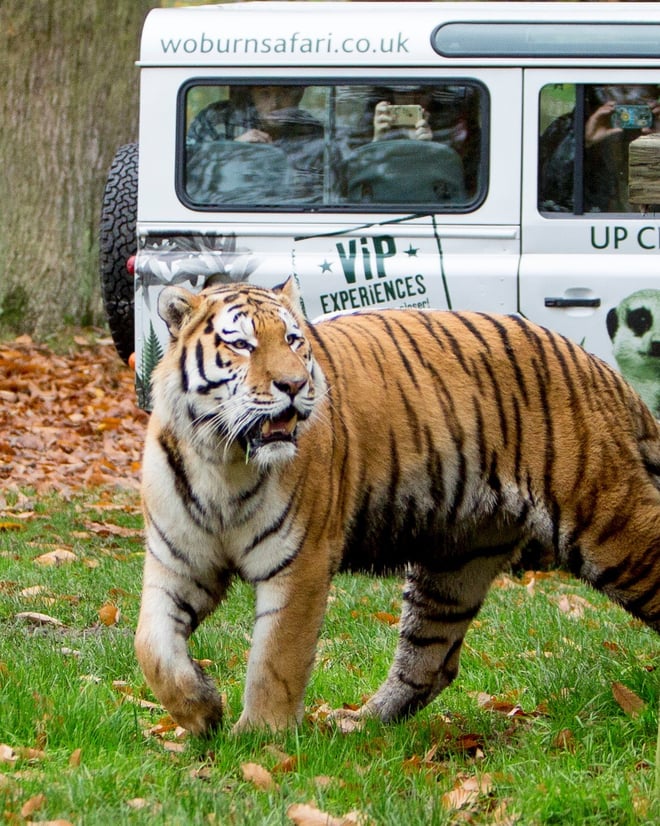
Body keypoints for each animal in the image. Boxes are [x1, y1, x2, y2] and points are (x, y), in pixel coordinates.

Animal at [135, 278, 660, 736]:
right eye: (242, 345)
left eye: (293, 340)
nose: (294, 385)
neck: (224, 461)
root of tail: (598, 369)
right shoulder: (178, 560)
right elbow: (152, 645)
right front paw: (202, 710)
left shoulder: (301, 563)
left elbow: (275, 661)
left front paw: (261, 740)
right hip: (456, 563)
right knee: (431, 661)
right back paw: (360, 724)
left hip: (609, 526)